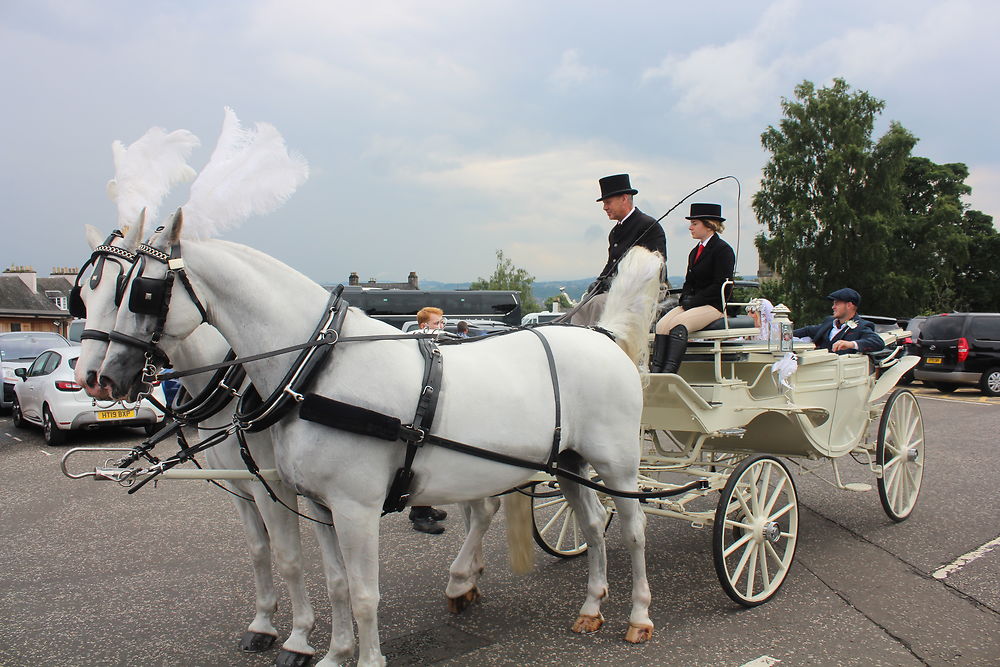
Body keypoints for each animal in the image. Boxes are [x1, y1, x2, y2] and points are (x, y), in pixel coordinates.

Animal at [99, 211, 664, 664]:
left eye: (140, 292)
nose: (105, 376)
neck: (317, 369)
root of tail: (603, 336)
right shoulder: (319, 504)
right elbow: (336, 585)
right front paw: (333, 654)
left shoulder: (353, 507)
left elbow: (364, 593)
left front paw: (360, 657)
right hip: (568, 462)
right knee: (591, 525)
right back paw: (590, 606)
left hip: (617, 465)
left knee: (633, 530)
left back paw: (637, 616)